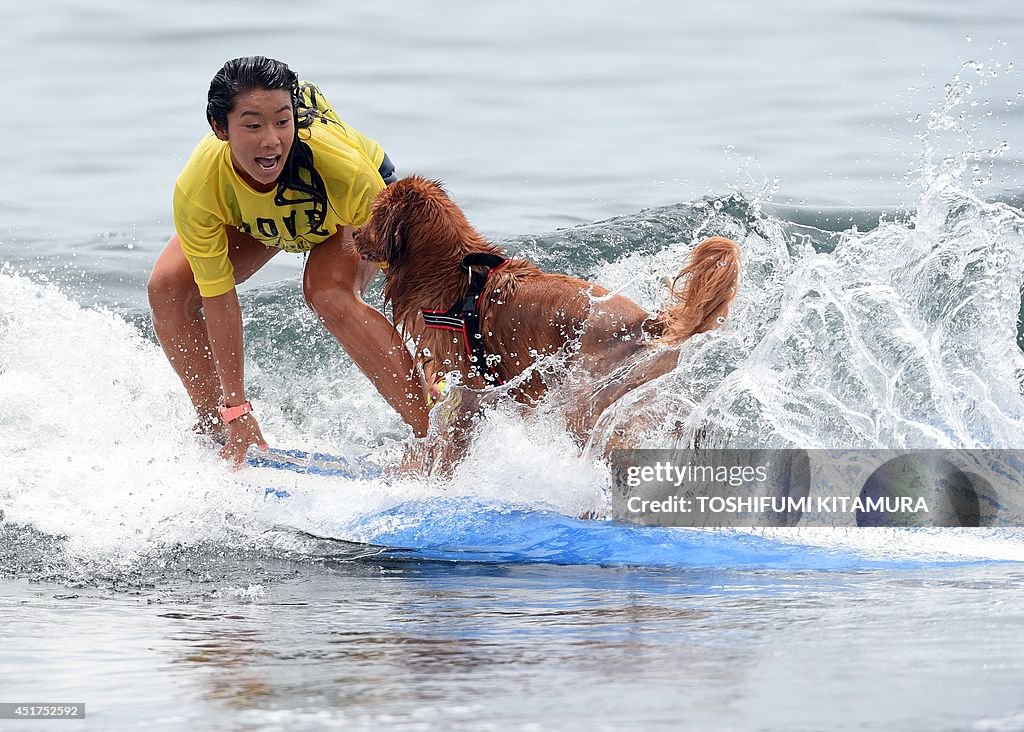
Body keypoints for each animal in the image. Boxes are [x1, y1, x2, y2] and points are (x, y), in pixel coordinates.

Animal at [356, 175, 741, 466]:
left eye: (374, 214)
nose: (354, 235)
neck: (455, 277)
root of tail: (647, 321)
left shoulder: (469, 390)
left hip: (586, 399)